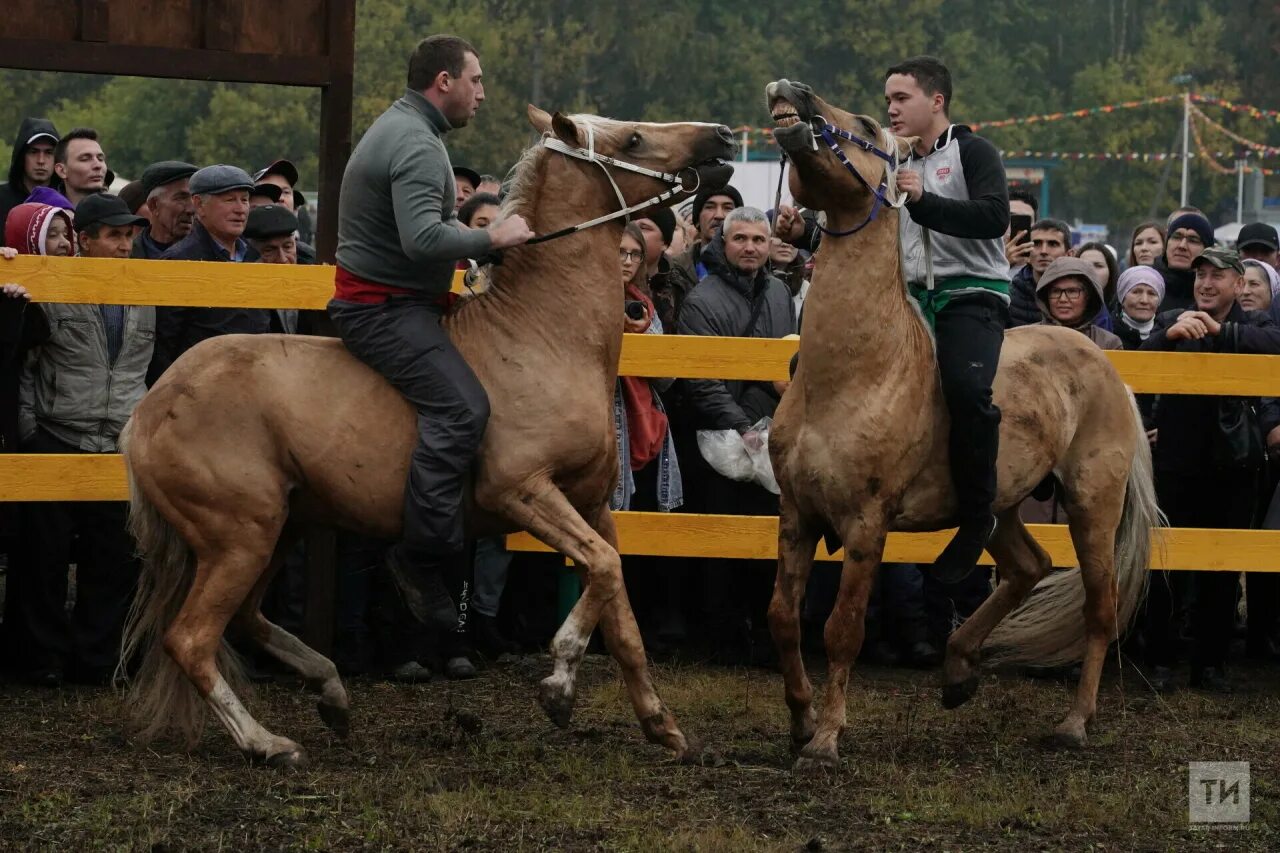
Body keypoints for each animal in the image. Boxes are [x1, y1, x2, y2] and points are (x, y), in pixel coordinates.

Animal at [120, 108, 742, 763]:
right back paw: (268, 741)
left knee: (241, 621)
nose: (723, 136)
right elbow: (601, 569)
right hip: (239, 537)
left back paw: (331, 692)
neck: (542, 337)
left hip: (275, 530)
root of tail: (148, 410)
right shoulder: (520, 491)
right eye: (634, 139)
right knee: (191, 639)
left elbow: (618, 609)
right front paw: (558, 683)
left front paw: (661, 725)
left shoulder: (592, 504)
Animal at [762, 81, 1167, 768]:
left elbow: (841, 629)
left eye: (865, 121)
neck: (851, 378)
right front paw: (799, 720)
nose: (794, 93)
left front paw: (825, 737)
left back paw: (1074, 723)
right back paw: (956, 671)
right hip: (999, 506)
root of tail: (1103, 366)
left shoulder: (866, 524)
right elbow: (784, 620)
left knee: (1100, 610)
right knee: (1028, 568)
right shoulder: (797, 516)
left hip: (1092, 507)